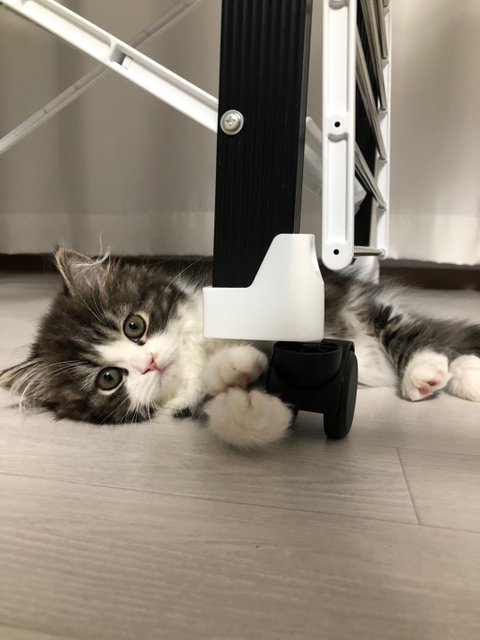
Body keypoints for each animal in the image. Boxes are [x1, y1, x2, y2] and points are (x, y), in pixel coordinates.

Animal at [0, 247, 479, 448]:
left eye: (134, 325)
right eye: (108, 379)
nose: (149, 362)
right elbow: (225, 403)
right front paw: (255, 404)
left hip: (361, 309)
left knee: (413, 330)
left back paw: (434, 371)